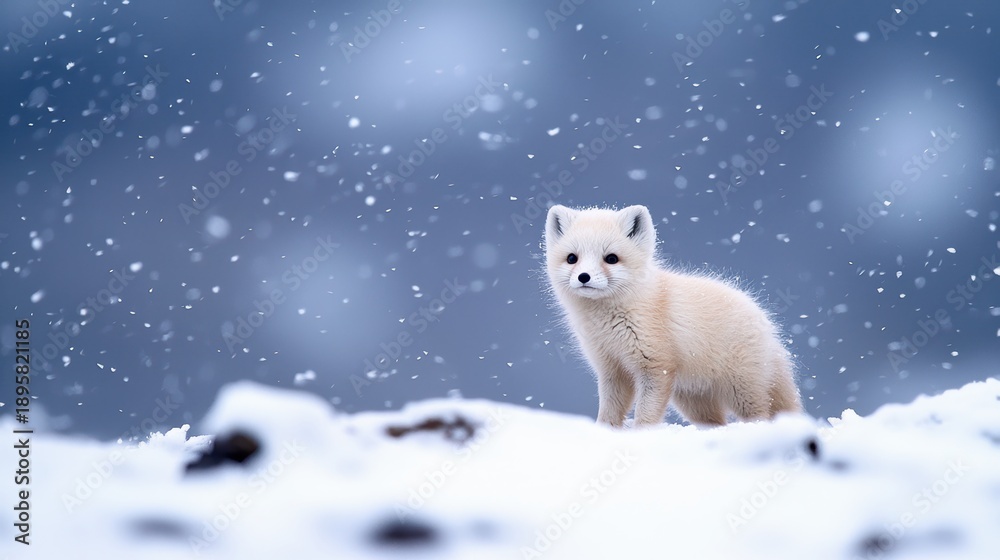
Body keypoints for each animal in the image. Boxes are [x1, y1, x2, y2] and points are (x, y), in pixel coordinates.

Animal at [544, 204, 803, 428]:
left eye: (611, 258)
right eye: (572, 258)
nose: (584, 277)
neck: (610, 324)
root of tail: (766, 323)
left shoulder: (656, 366)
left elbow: (646, 414)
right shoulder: (612, 369)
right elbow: (609, 412)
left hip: (741, 391)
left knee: (761, 415)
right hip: (692, 400)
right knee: (717, 422)